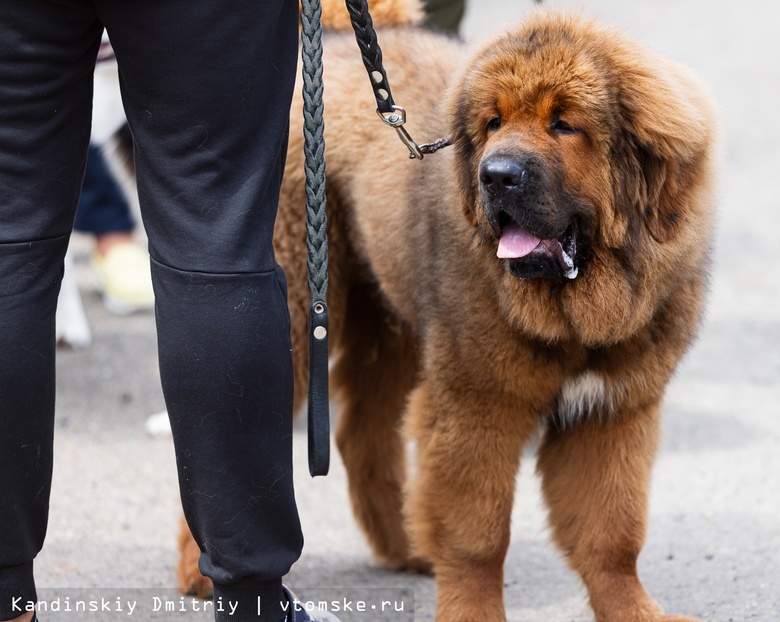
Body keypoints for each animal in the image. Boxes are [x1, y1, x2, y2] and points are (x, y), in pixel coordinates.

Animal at [178, 6, 720, 622]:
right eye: (493, 123)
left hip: (394, 322)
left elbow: (613, 534)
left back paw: (405, 548)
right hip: (300, 312)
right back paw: (200, 577)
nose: (497, 175)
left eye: (564, 124)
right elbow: (478, 536)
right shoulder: (476, 404)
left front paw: (634, 610)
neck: (576, 315)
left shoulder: (613, 411)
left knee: (364, 431)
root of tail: (332, 44)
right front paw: (472, 609)